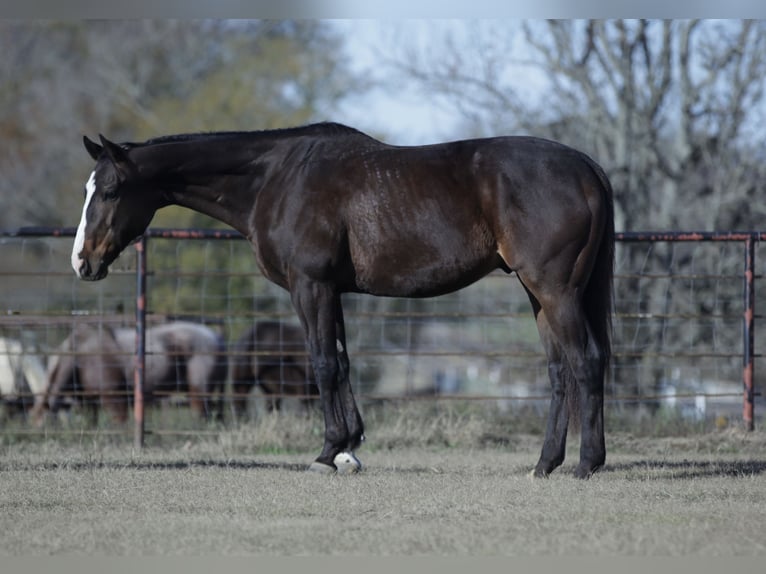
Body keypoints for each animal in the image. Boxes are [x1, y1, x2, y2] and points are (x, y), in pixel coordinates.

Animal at [32, 321, 228, 426]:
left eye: (43, 423)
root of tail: (218, 338)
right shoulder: (88, 402)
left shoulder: (113, 396)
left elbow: (119, 421)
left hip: (199, 390)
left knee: (202, 414)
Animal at [73, 122, 614, 478]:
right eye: (88, 188)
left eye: (112, 189)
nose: (83, 261)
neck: (276, 178)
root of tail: (587, 166)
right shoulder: (331, 290)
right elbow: (342, 361)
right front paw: (350, 450)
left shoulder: (309, 285)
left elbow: (322, 364)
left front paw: (326, 452)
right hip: (539, 294)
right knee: (561, 372)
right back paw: (545, 463)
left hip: (554, 289)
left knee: (585, 362)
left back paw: (586, 465)